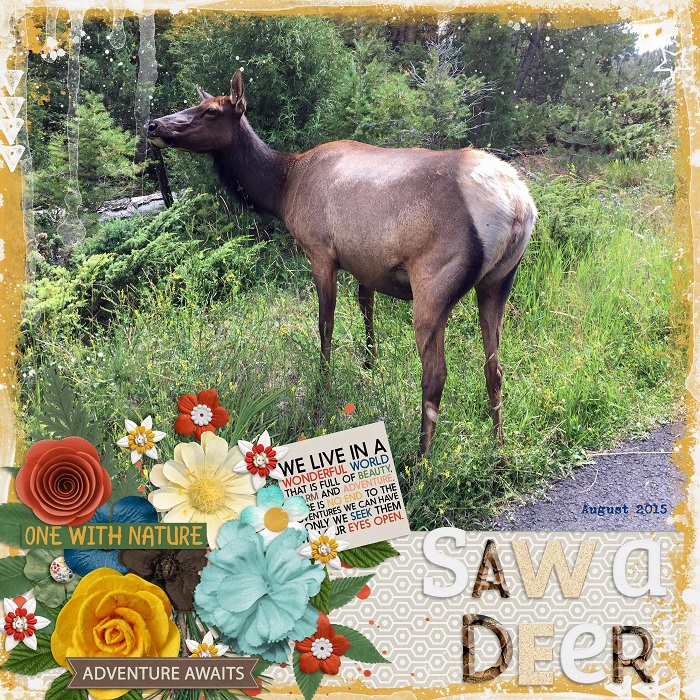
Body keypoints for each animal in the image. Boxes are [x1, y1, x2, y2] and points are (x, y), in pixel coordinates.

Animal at [147, 69, 537, 455]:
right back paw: (500, 449)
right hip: (500, 280)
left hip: (435, 281)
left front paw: (324, 384)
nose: (153, 125)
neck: (283, 189)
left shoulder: (320, 251)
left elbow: (325, 324)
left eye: (211, 111)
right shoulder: (367, 262)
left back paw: (422, 458)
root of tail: (517, 205)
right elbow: (366, 308)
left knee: (436, 375)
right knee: (495, 368)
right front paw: (370, 366)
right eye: (197, 104)